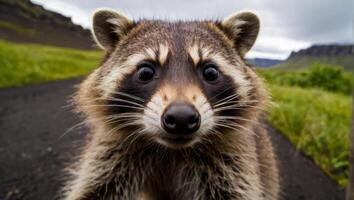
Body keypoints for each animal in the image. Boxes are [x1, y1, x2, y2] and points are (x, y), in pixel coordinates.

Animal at [63, 8, 280, 199]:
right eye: (145, 72)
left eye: (210, 72)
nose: (181, 118)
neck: (172, 153)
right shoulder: (111, 154)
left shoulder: (233, 164)